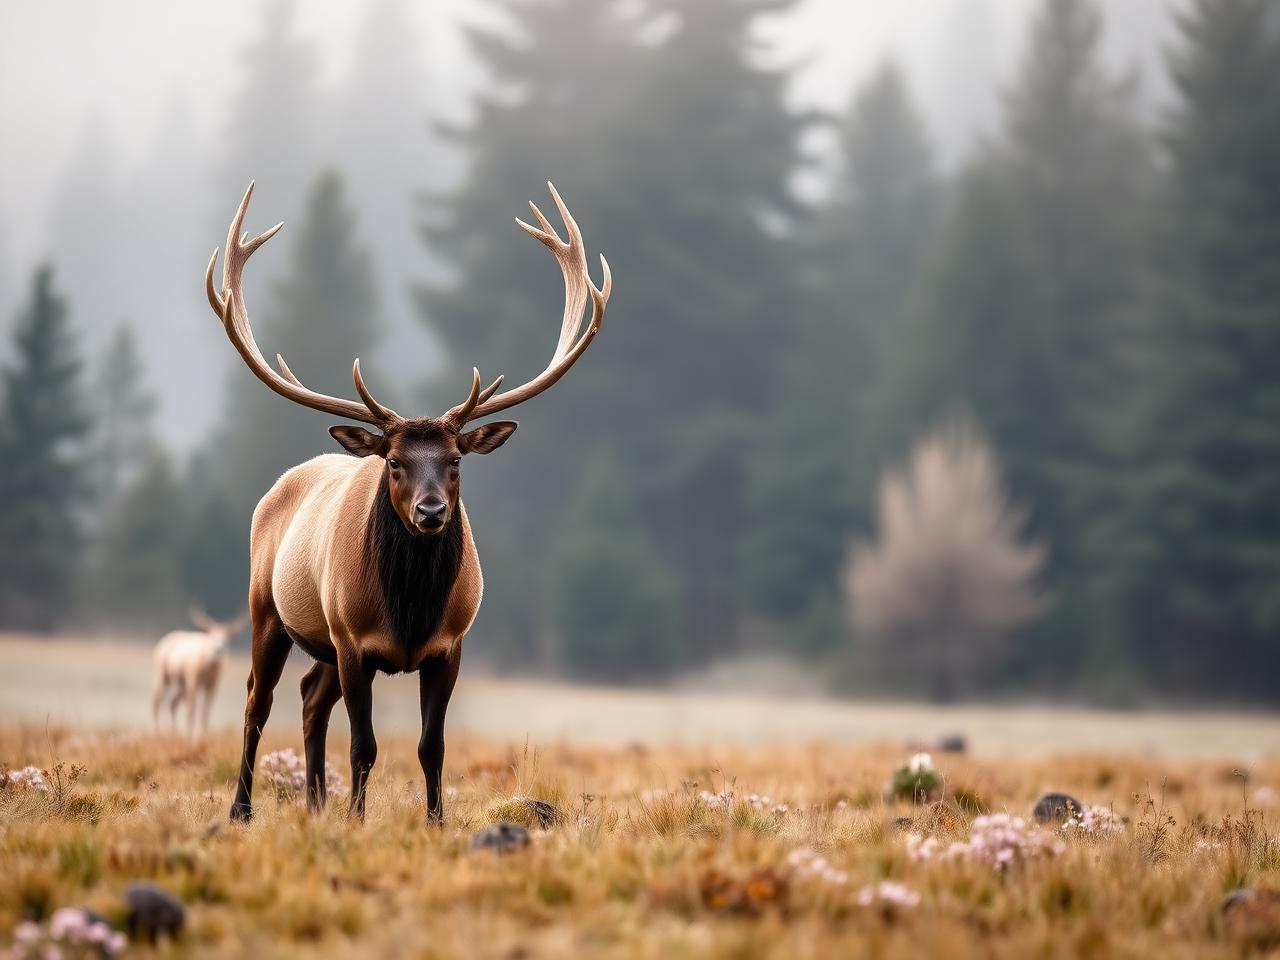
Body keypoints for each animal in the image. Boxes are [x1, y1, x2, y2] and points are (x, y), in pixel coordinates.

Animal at [205, 181, 611, 823]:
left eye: (456, 460)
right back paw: (242, 810)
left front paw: (434, 821)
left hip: (319, 643)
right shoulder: (352, 641)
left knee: (309, 699)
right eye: (395, 461)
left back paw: (314, 805)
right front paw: (356, 818)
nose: (431, 512)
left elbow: (431, 746)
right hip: (267, 610)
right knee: (256, 702)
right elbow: (365, 746)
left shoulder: (450, 646)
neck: (409, 611)